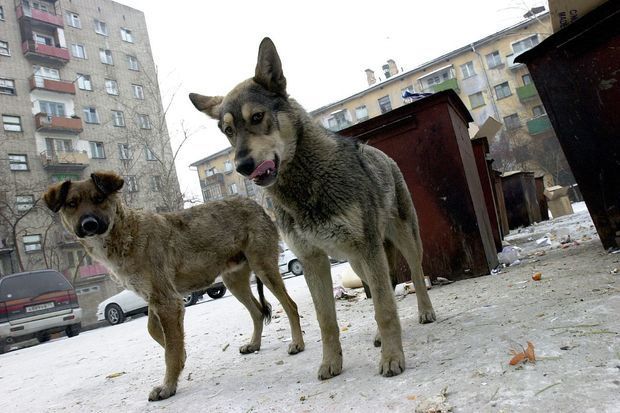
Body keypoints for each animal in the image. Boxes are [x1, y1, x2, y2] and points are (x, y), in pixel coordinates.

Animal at [43, 171, 305, 401]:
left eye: (99, 198)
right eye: (72, 203)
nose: (88, 224)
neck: (125, 233)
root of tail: (255, 204)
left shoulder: (168, 301)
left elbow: (169, 349)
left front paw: (168, 386)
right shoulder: (155, 299)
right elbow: (156, 332)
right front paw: (181, 357)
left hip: (264, 269)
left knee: (290, 306)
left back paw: (297, 343)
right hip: (234, 281)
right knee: (258, 312)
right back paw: (254, 344)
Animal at [189, 37, 436, 380]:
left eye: (257, 117)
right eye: (228, 131)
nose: (242, 167)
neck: (305, 184)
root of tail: (380, 153)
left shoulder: (367, 251)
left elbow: (385, 309)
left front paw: (391, 358)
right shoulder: (313, 262)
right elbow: (326, 320)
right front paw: (331, 363)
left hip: (402, 242)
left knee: (414, 274)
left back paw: (425, 312)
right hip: (358, 262)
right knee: (381, 287)